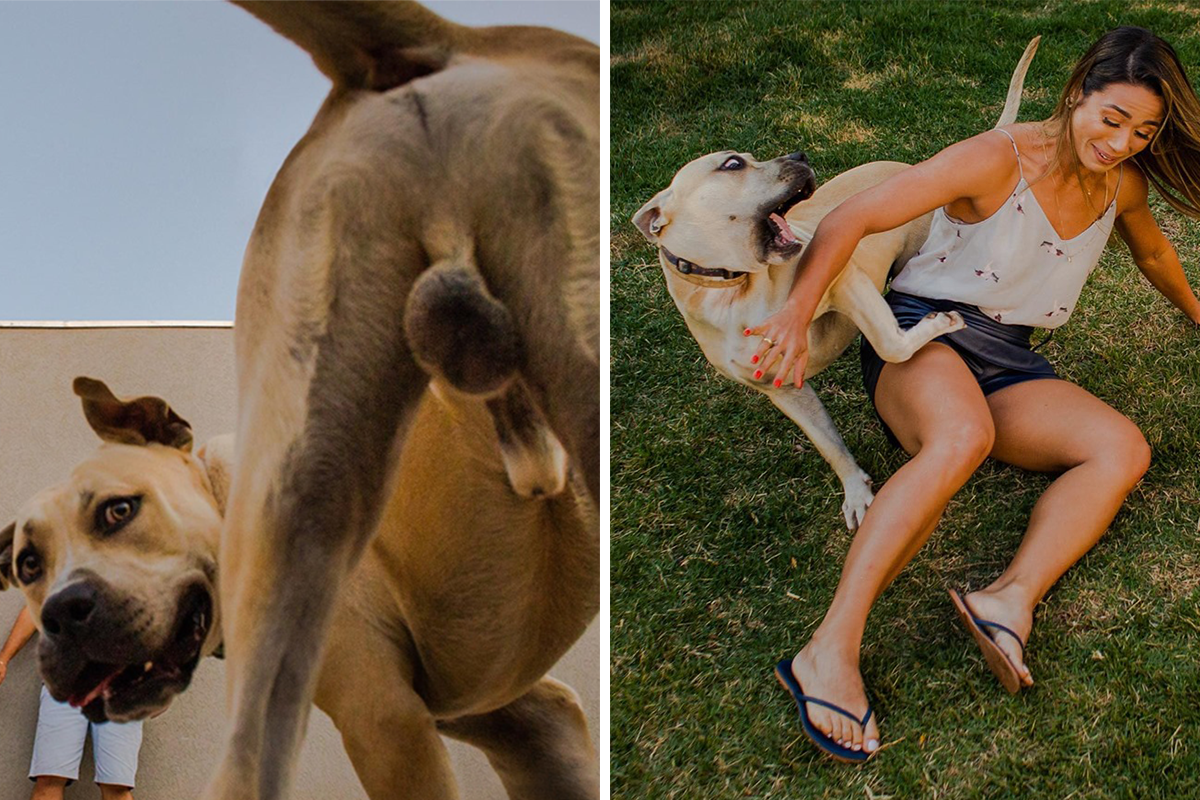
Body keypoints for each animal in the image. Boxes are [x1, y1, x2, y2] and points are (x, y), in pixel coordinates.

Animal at [633, 42, 1036, 532]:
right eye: (732, 163)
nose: (800, 155)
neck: (735, 293)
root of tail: (918, 168)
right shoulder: (782, 389)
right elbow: (826, 441)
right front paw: (856, 490)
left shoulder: (844, 281)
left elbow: (891, 345)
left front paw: (937, 324)